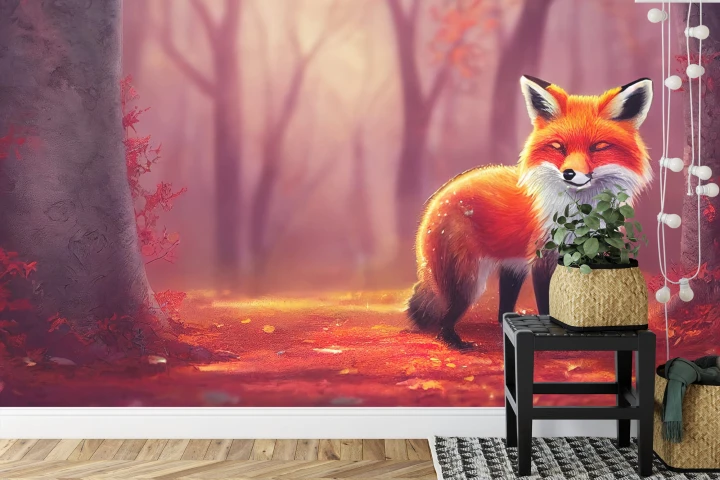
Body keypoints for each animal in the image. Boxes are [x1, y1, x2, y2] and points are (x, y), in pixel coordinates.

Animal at [407, 75, 654, 350]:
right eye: (558, 147)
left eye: (598, 147)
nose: (569, 173)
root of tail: (436, 201)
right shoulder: (543, 257)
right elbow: (547, 301)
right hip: (468, 282)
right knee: (446, 315)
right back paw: (454, 342)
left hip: (509, 269)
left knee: (501, 309)